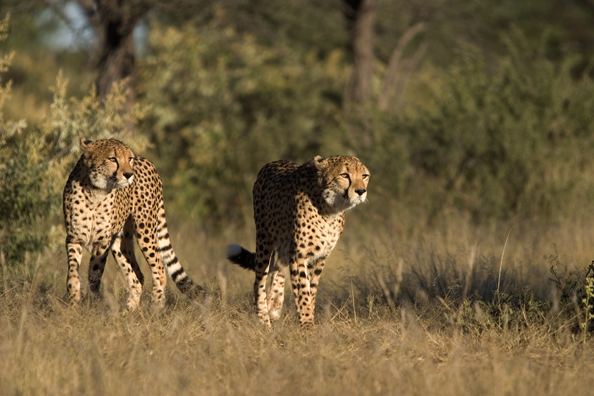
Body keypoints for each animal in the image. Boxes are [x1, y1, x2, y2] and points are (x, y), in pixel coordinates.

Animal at [64, 138, 200, 310]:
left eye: (129, 159)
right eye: (112, 159)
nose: (129, 175)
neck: (95, 191)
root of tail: (148, 161)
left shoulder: (102, 243)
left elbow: (94, 274)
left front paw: (92, 302)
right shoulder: (73, 238)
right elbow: (73, 272)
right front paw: (74, 301)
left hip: (144, 232)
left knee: (159, 268)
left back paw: (156, 307)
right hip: (120, 243)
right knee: (137, 276)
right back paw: (129, 310)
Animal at [225, 153, 368, 326]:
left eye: (364, 176)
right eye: (344, 175)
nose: (361, 191)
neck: (330, 208)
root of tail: (274, 162)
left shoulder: (320, 257)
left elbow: (311, 290)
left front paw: (307, 316)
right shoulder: (299, 255)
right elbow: (303, 292)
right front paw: (307, 325)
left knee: (278, 268)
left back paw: (274, 307)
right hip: (264, 240)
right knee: (259, 281)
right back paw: (264, 321)